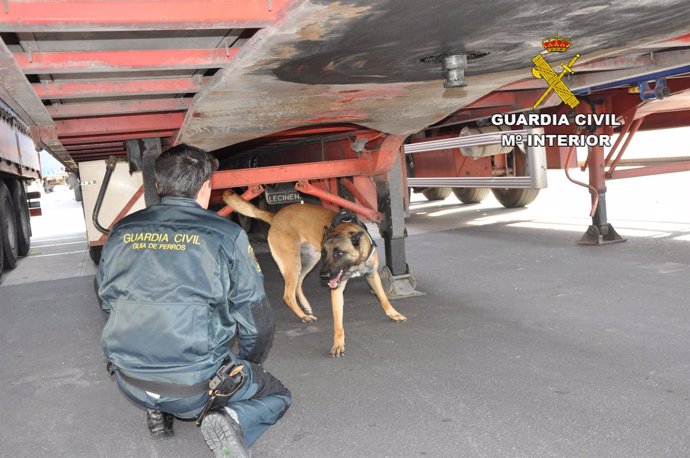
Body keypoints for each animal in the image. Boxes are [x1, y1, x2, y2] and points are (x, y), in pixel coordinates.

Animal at [220, 190, 406, 358]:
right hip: (295, 263)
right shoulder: (336, 288)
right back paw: (303, 315)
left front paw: (394, 313)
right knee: (288, 293)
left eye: (339, 253)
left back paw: (306, 307)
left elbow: (383, 298)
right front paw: (338, 344)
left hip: (309, 261)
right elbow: (338, 323)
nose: (324, 277)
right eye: (326, 253)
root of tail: (275, 216)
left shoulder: (372, 275)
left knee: (297, 284)